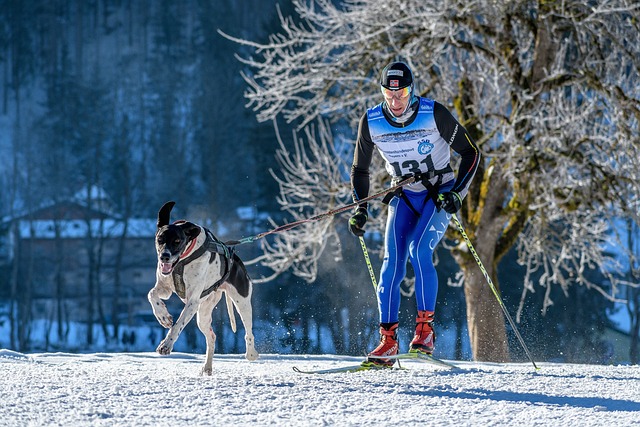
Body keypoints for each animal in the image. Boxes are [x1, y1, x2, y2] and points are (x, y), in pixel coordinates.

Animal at [149, 201, 258, 374]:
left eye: (177, 241)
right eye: (160, 239)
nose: (164, 256)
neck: (183, 259)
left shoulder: (192, 301)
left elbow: (178, 325)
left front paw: (166, 344)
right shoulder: (164, 288)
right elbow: (152, 295)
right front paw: (163, 316)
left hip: (242, 302)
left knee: (249, 332)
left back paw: (251, 354)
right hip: (203, 314)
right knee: (212, 337)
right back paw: (207, 367)